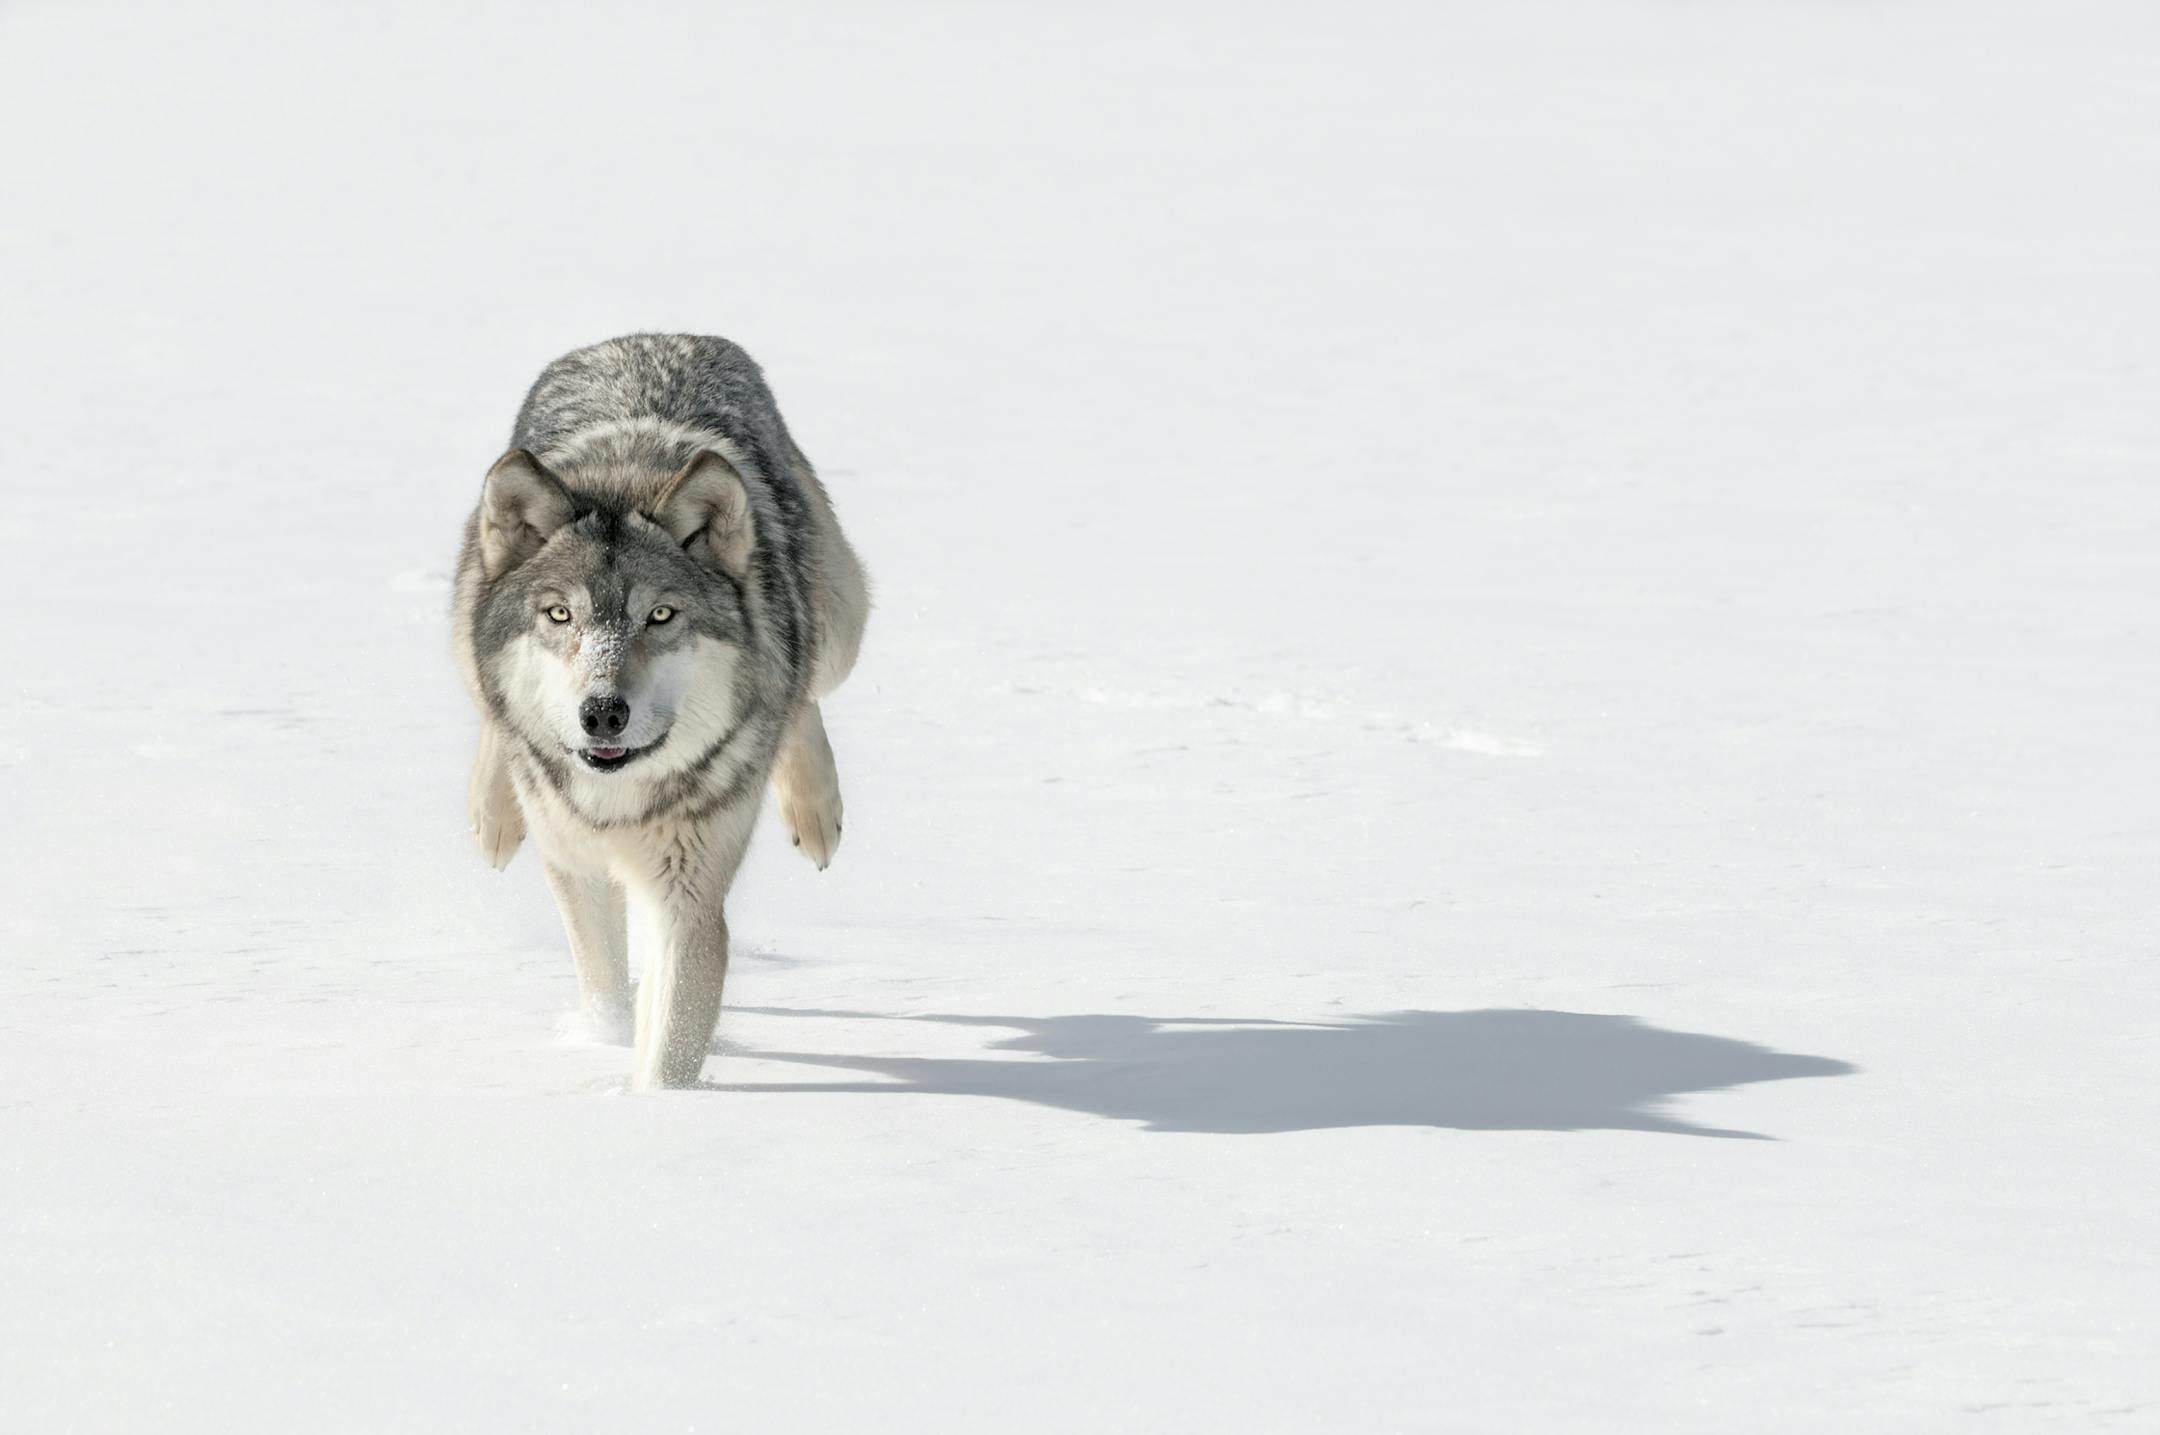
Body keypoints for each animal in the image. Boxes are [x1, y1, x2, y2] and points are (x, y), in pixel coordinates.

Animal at [453, 334, 869, 1089]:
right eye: (560, 615)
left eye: (661, 616)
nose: (602, 714)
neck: (618, 803)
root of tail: (651, 336)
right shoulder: (578, 866)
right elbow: (606, 985)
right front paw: (604, 1043)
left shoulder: (688, 895)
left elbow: (670, 1039)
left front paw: (655, 1103)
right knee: (491, 715)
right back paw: (493, 818)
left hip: (842, 629)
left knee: (803, 687)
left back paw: (816, 815)